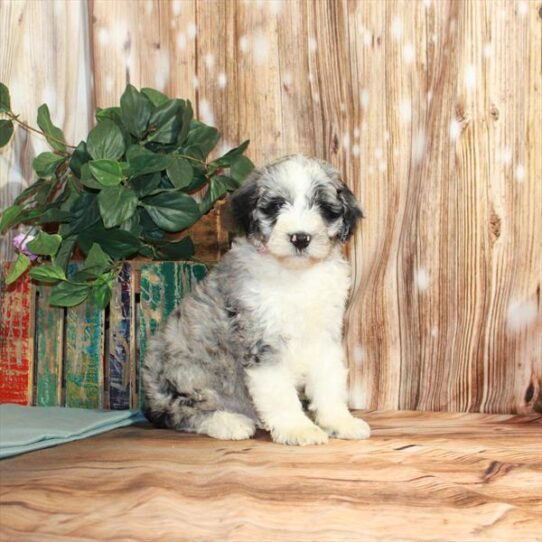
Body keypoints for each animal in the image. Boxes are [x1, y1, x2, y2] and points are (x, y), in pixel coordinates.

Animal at [142, 154, 372, 446]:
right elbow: (279, 392)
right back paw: (230, 423)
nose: (300, 238)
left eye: (322, 207)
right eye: (275, 206)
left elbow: (329, 382)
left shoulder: (323, 336)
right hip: (187, 373)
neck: (296, 275)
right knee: (181, 413)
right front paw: (298, 429)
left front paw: (340, 422)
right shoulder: (263, 341)